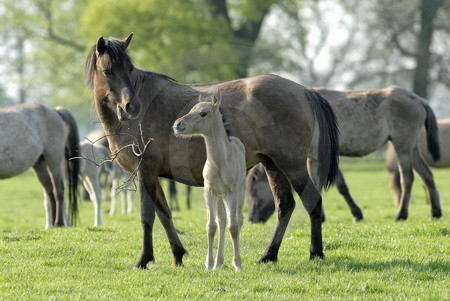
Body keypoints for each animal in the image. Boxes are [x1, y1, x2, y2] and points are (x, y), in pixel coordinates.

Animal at [173, 93, 246, 270]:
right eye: (191, 109)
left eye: (203, 113)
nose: (177, 124)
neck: (219, 161)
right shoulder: (209, 191)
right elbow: (211, 226)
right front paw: (209, 264)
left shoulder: (231, 191)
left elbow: (233, 226)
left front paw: (237, 264)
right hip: (220, 195)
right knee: (222, 220)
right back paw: (219, 262)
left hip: (239, 192)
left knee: (238, 219)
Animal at [246, 85, 440, 221]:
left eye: (253, 192)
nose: (252, 219)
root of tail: (417, 99)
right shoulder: (313, 158)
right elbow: (316, 184)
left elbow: (341, 186)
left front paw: (356, 214)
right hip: (411, 148)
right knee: (426, 175)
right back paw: (435, 212)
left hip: (402, 146)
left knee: (407, 179)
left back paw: (401, 214)